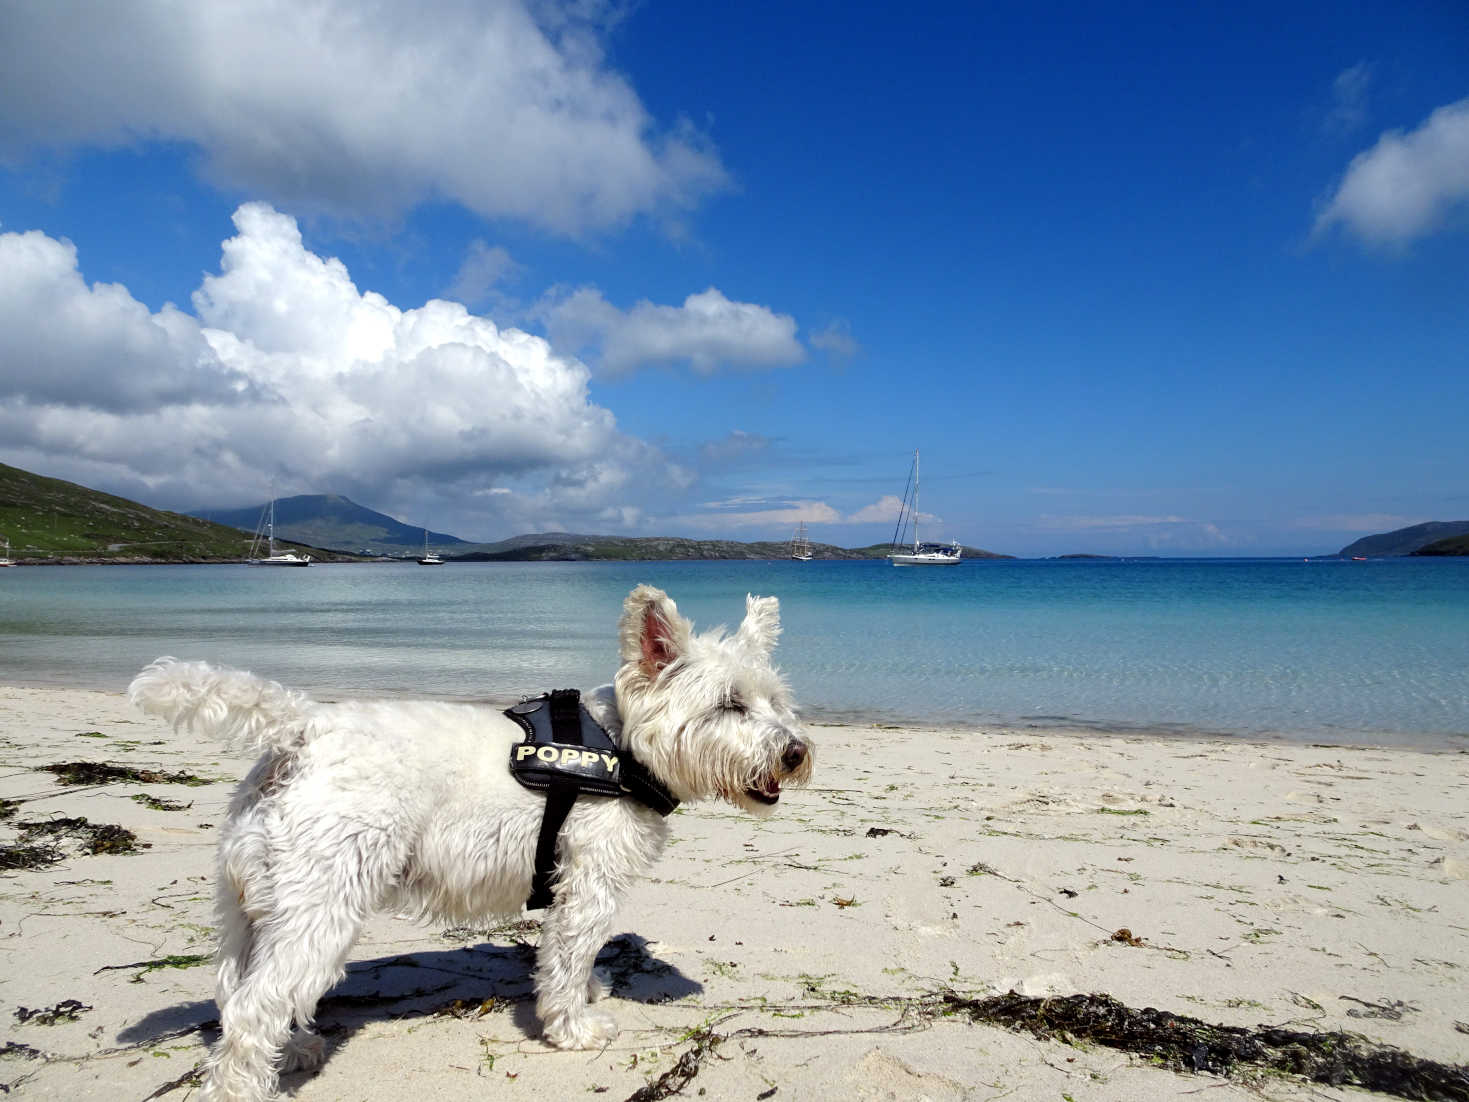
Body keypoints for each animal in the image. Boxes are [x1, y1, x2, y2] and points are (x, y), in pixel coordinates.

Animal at [127, 587, 816, 1102]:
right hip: (321, 908)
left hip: (252, 906)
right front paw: (573, 1028)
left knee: (238, 992)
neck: (623, 749)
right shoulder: (588, 885)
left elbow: (571, 960)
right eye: (728, 705)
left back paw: (292, 1048)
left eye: (775, 701)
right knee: (253, 1008)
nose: (795, 751)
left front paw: (587, 995)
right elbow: (569, 958)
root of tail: (304, 727)